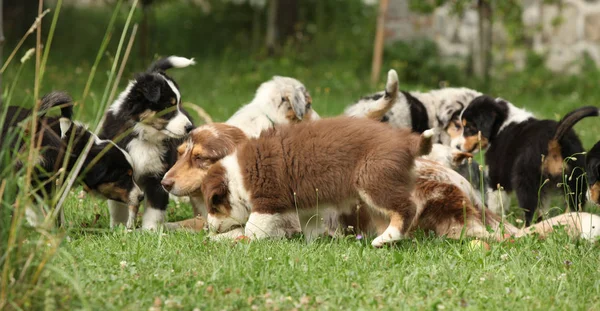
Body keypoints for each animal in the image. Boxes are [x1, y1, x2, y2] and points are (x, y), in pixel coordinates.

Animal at [99, 55, 196, 229]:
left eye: (179, 104)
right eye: (169, 106)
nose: (189, 127)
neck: (143, 135)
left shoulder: (157, 175)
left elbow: (154, 209)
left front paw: (150, 231)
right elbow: (119, 205)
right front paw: (119, 228)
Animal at [162, 117, 434, 249]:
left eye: (214, 207)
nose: (210, 226)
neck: (236, 176)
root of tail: (407, 141)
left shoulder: (267, 201)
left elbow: (250, 230)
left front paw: (220, 239)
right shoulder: (306, 206)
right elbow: (311, 227)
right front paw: (314, 245)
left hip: (373, 180)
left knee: (407, 208)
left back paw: (387, 237)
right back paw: (383, 240)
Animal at [454, 95, 596, 224]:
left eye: (469, 127)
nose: (457, 146)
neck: (501, 126)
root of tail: (554, 138)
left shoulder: (497, 175)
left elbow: (496, 202)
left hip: (526, 179)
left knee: (530, 210)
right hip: (575, 179)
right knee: (573, 205)